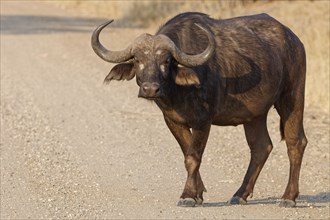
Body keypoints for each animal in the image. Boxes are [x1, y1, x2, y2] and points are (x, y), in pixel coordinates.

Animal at [91, 12, 308, 208]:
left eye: (166, 61)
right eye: (137, 60)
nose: (150, 89)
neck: (178, 91)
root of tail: (295, 41)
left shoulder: (203, 121)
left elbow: (193, 157)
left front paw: (187, 196)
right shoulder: (172, 120)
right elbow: (187, 152)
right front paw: (197, 193)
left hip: (292, 98)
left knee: (296, 143)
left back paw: (288, 197)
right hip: (255, 115)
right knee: (261, 147)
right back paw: (240, 194)